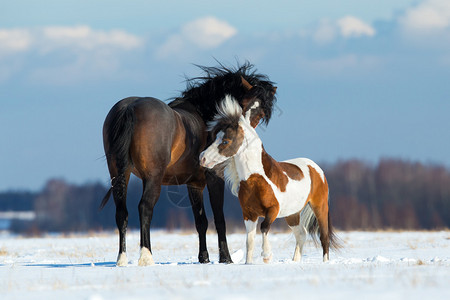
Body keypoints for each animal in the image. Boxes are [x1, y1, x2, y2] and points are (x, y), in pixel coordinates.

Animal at [101, 62, 276, 266]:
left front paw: (204, 258)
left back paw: (121, 259)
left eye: (260, 113)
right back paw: (146, 256)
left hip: (119, 174)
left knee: (122, 213)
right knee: (144, 208)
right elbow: (219, 218)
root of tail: (131, 107)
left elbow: (201, 221)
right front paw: (225, 258)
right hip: (152, 177)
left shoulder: (194, 184)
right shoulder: (214, 177)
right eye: (243, 107)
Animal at [200, 95, 338, 264]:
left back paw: (325, 262)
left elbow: (264, 227)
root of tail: (316, 168)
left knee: (323, 236)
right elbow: (250, 240)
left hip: (319, 206)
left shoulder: (273, 210)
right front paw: (248, 263)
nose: (202, 158)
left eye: (225, 141)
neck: (256, 179)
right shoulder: (248, 214)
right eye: (215, 137)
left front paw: (266, 255)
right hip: (292, 213)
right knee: (301, 234)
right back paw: (295, 261)